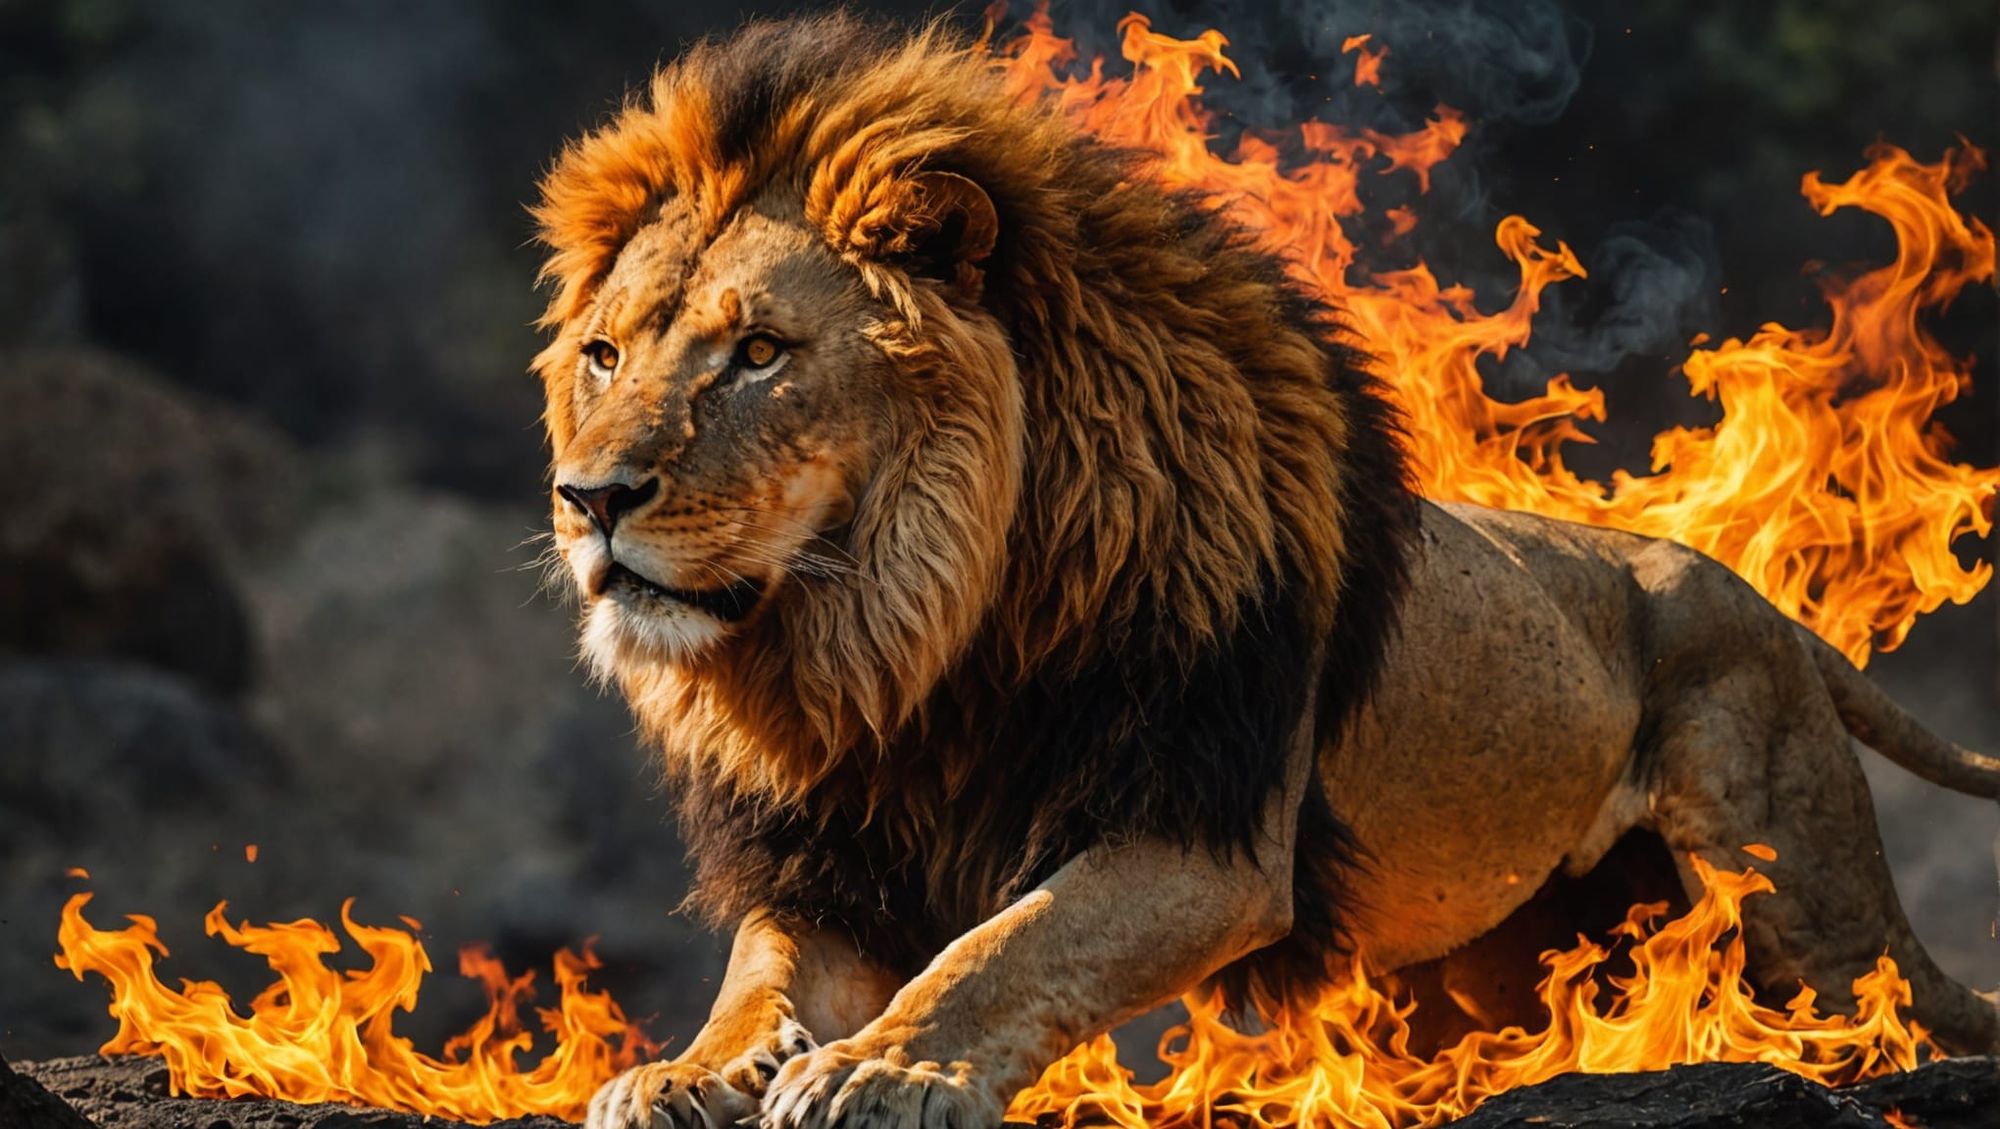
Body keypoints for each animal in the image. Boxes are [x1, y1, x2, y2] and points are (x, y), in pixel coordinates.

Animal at [528, 15, 2000, 1129]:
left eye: (758, 353)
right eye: (605, 354)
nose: (588, 500)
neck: (912, 637)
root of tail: (1759, 605)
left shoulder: (1206, 830)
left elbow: (1003, 948)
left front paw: (889, 1064)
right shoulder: (835, 860)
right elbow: (757, 979)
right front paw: (683, 1071)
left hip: (1804, 900)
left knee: (1910, 1018)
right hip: (1507, 947)